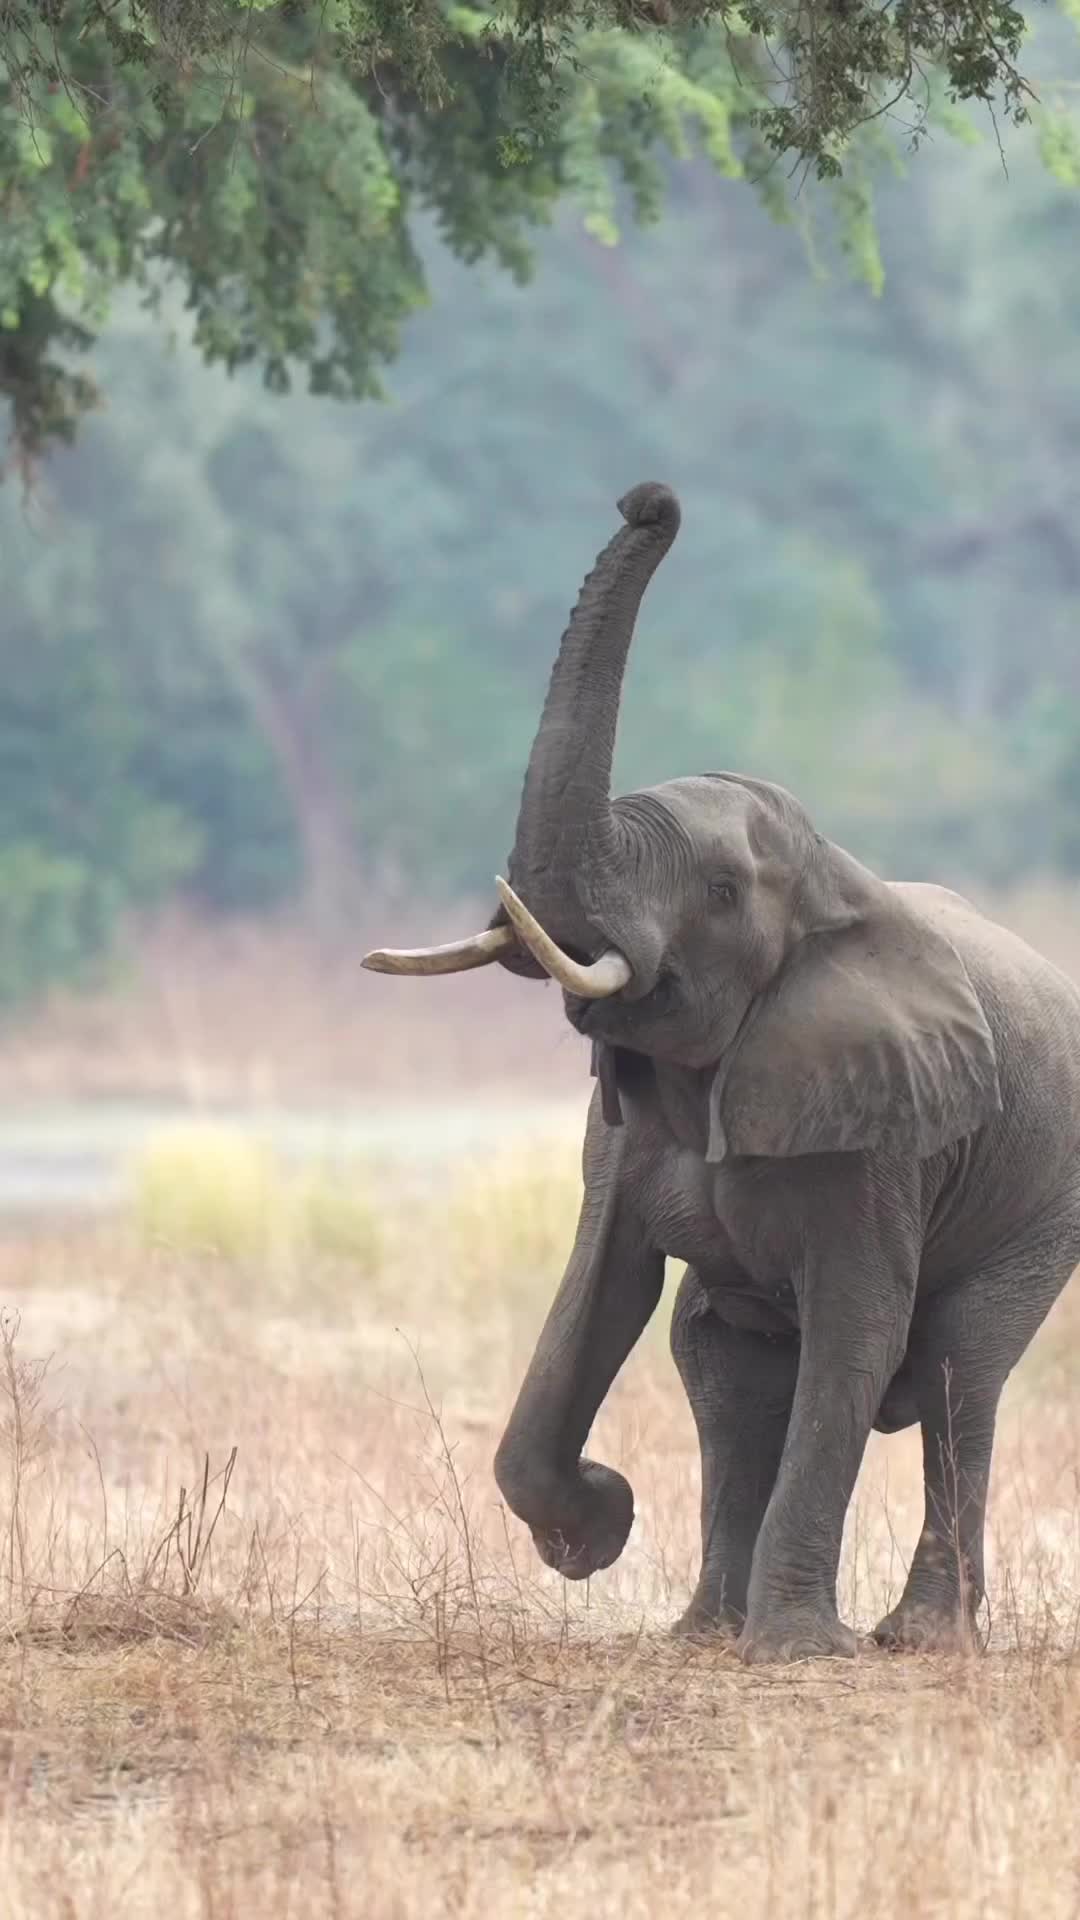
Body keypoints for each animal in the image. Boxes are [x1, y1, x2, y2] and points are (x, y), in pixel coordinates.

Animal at [363, 483, 1080, 1666]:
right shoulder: (621, 1129)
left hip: (1041, 1208)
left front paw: (798, 1654)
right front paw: (600, 1527)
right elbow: (599, 1294)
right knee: (721, 1362)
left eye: (719, 890)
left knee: (955, 1371)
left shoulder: (884, 1137)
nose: (648, 498)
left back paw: (916, 1642)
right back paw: (705, 1632)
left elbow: (857, 1333)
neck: (833, 880)